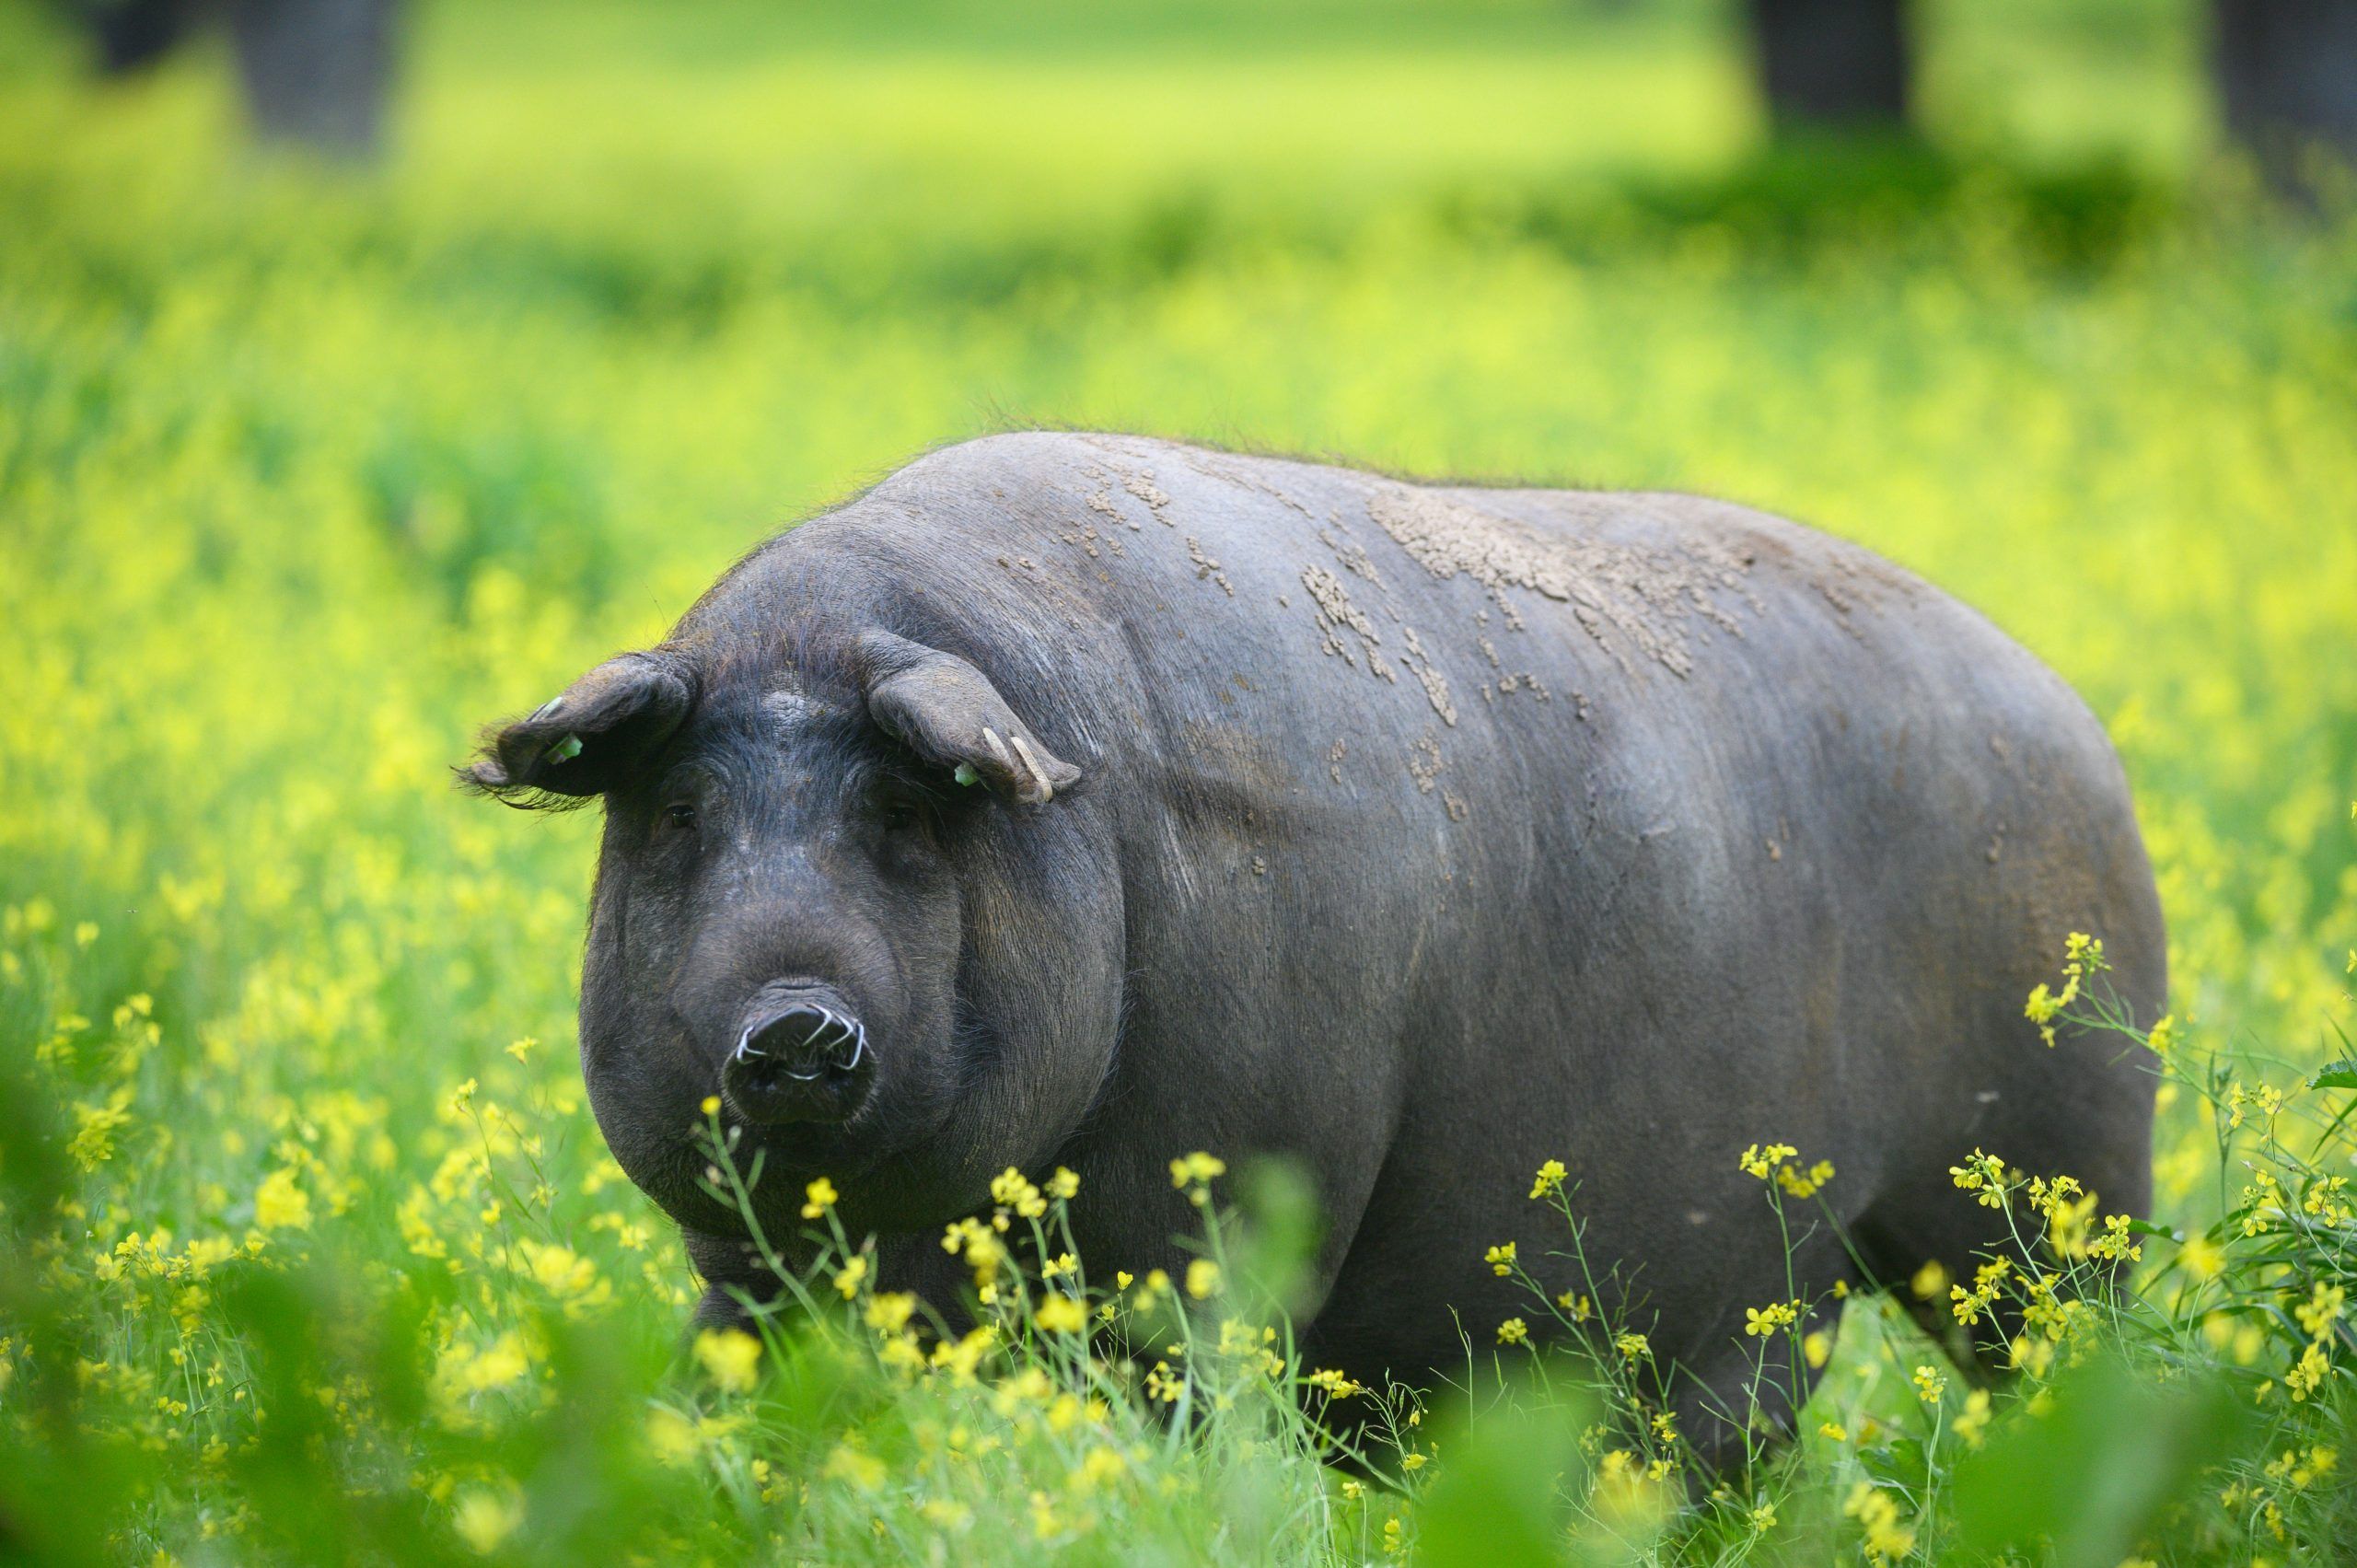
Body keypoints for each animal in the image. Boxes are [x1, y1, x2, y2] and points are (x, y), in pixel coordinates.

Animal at [462, 432, 2161, 1460]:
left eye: (900, 812)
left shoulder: (1217, 1237)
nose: (796, 1021)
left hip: (2058, 1182)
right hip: (1798, 1271)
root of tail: (2079, 722)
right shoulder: (738, 1280)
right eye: (680, 814)